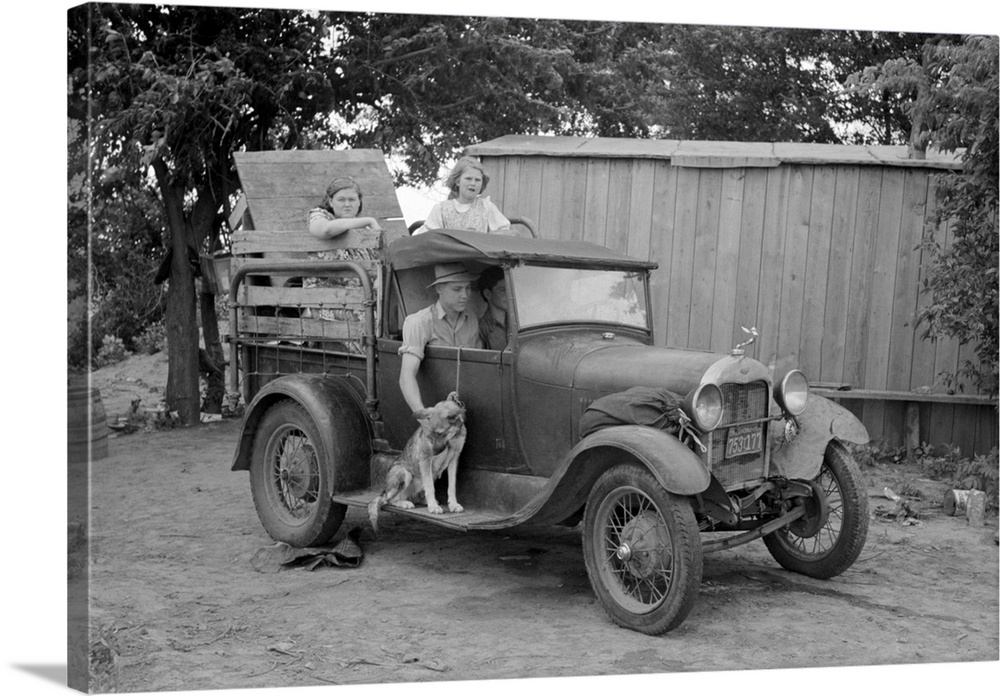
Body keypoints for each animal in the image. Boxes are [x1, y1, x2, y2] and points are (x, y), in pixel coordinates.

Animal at [370, 394, 466, 536]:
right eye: (430, 435)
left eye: (439, 433)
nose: (434, 452)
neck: (452, 439)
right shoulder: (425, 461)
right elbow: (430, 488)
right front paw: (433, 507)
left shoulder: (454, 459)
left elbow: (451, 486)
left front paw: (453, 504)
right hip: (404, 473)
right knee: (389, 500)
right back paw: (406, 503)